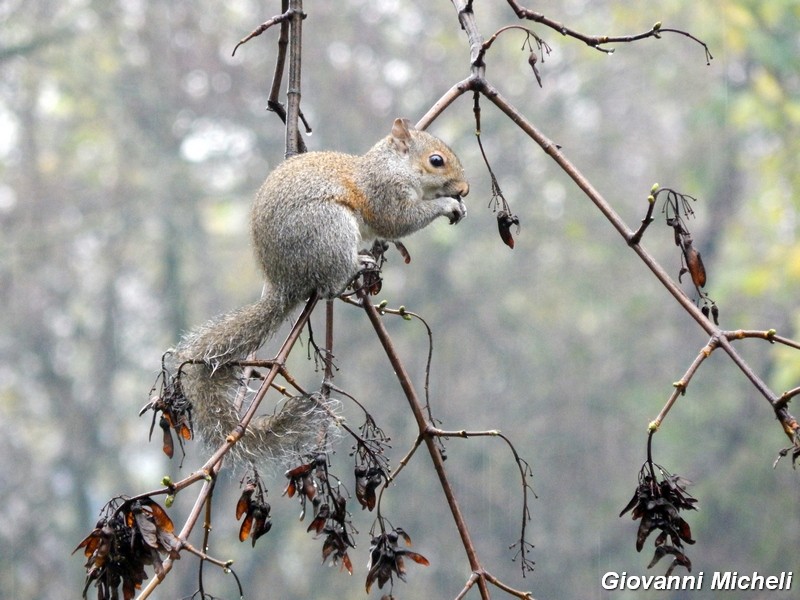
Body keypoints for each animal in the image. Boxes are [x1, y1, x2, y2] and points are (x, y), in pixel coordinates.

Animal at [170, 118, 468, 468]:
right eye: (436, 161)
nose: (464, 189)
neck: (394, 166)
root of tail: (284, 281)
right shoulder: (385, 193)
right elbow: (398, 221)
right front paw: (447, 205)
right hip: (329, 229)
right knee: (329, 286)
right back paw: (357, 265)